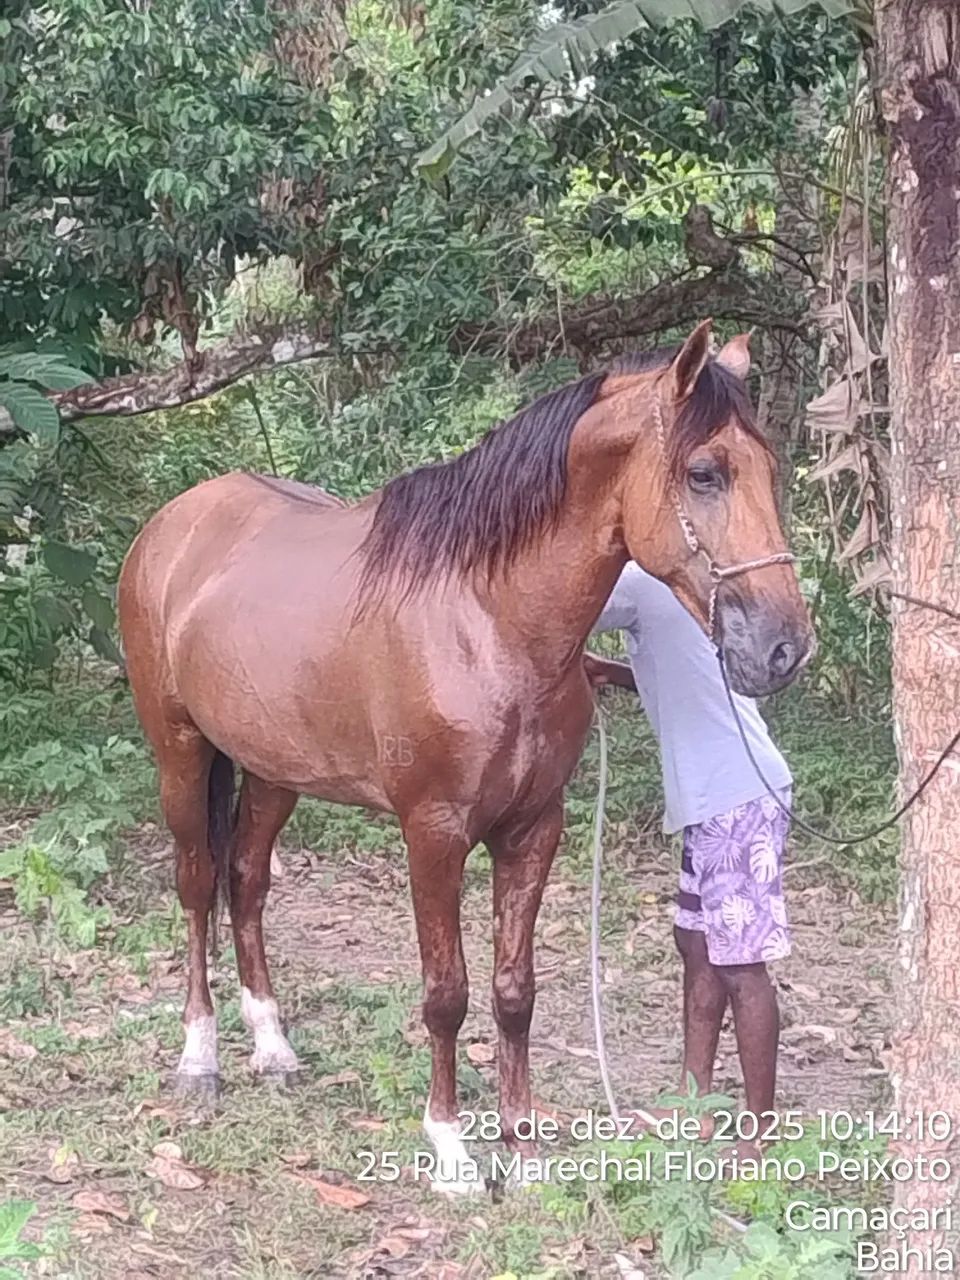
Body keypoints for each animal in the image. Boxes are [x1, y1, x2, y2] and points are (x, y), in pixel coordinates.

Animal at [117, 320, 812, 1194]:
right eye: (705, 473)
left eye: (770, 470)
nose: (784, 649)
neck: (487, 620)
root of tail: (173, 524)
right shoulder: (434, 834)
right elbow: (446, 993)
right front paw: (450, 1149)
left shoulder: (533, 831)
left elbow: (514, 992)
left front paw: (521, 1145)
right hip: (179, 754)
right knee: (198, 883)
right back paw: (200, 1056)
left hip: (275, 771)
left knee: (246, 883)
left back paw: (273, 1047)